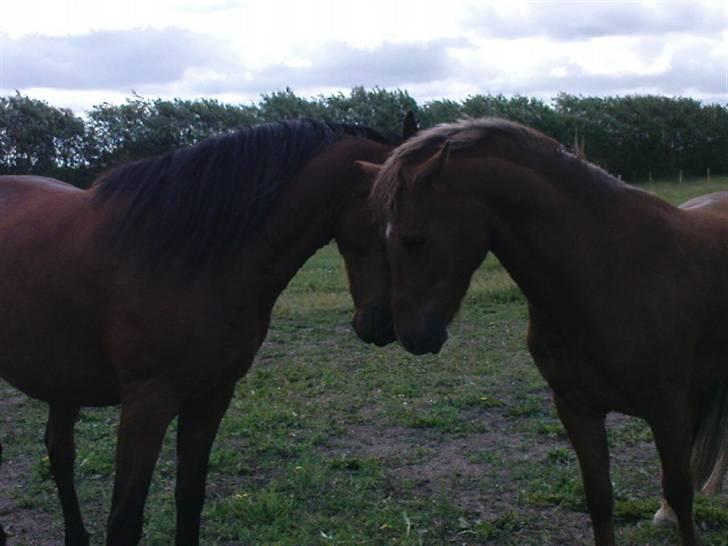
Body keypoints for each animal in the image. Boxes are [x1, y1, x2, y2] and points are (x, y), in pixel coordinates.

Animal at [0, 113, 416, 540]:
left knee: (59, 449)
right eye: (396, 222)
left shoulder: (212, 395)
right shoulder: (146, 403)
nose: (386, 324)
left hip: (62, 379)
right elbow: (125, 520)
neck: (189, 257)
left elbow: (190, 496)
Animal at [366, 119, 728, 544]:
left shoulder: (666, 409)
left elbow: (681, 491)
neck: (607, 271)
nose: (410, 336)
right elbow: (600, 498)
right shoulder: (577, 409)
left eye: (414, 239)